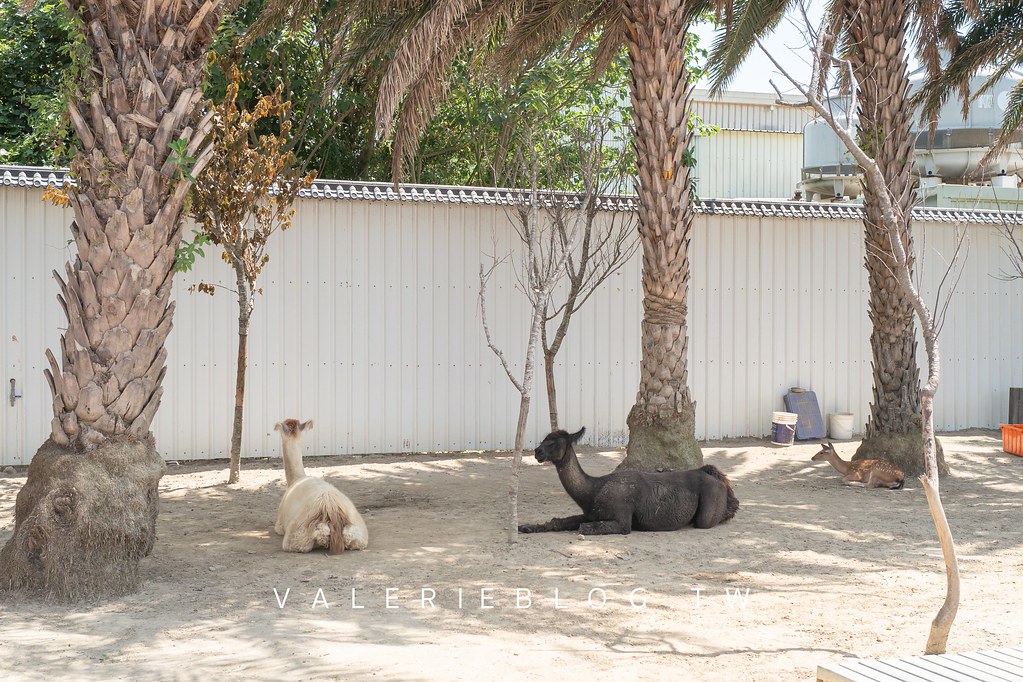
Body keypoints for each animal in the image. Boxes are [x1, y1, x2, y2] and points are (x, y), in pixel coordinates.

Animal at [515, 429, 740, 535]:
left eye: (554, 443)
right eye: (544, 439)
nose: (537, 452)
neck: (593, 490)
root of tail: (714, 476)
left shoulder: (622, 520)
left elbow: (585, 528)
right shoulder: (591, 513)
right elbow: (558, 521)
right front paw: (525, 527)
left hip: (709, 508)